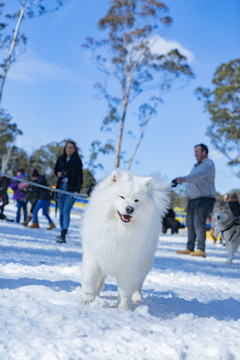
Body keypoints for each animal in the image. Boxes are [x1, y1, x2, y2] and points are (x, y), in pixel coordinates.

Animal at [81, 169, 170, 310]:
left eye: (136, 200)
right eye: (122, 197)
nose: (130, 208)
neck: (119, 229)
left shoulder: (130, 265)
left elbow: (125, 290)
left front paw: (123, 308)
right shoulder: (95, 255)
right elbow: (89, 278)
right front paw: (87, 299)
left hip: (145, 263)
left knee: (138, 284)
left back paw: (137, 297)